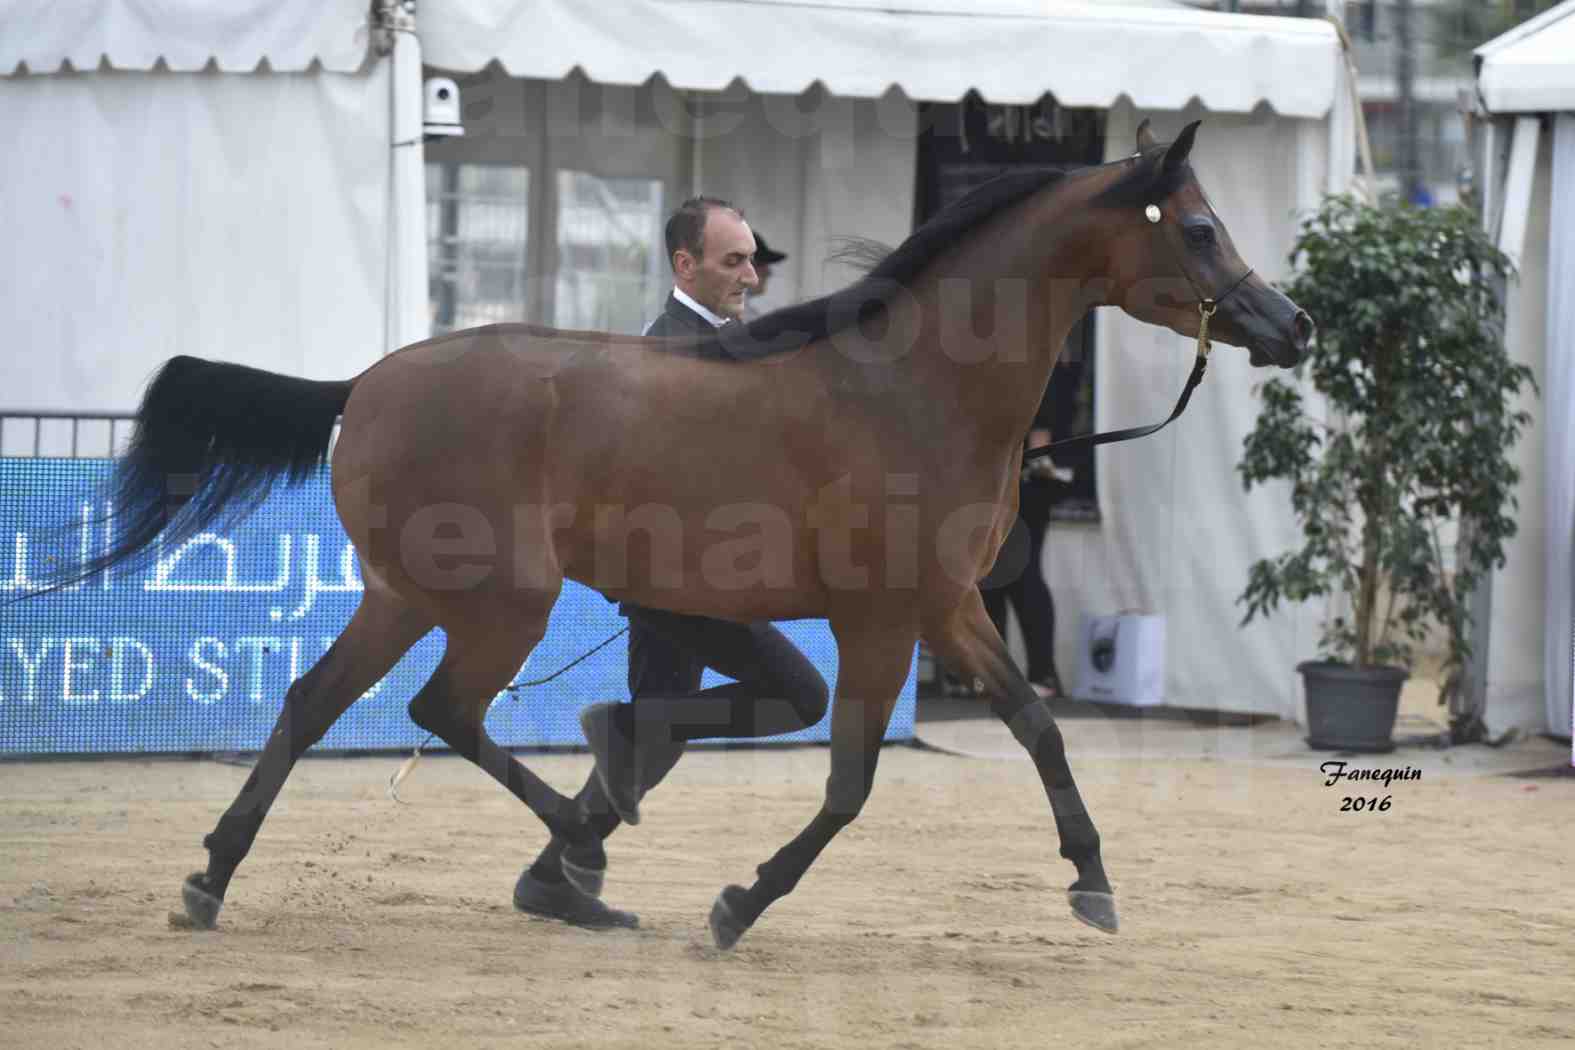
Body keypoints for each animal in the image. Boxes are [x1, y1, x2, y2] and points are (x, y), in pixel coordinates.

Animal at [74, 118, 1310, 950]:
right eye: (1199, 228)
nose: (1289, 325)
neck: (916, 386)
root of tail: (366, 384)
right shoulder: (878, 620)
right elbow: (850, 784)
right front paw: (736, 905)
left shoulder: (946, 606)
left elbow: (1038, 728)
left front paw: (1092, 882)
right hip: (500, 600)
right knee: (441, 710)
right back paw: (582, 839)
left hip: (407, 593)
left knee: (313, 703)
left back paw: (217, 879)